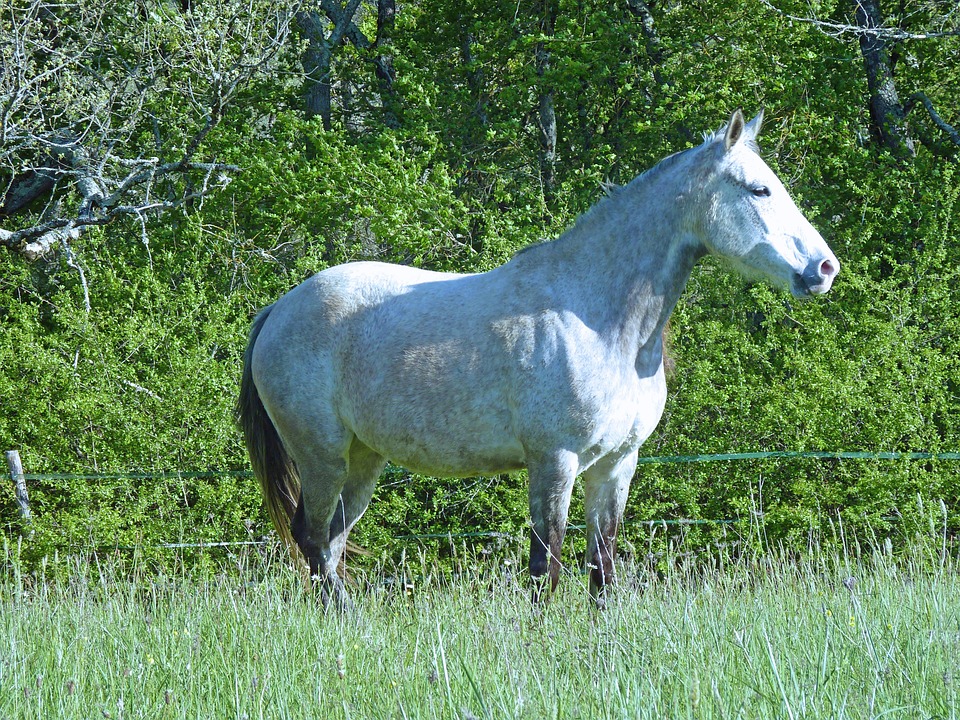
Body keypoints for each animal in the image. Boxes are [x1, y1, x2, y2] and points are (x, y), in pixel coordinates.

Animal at [237, 110, 839, 608]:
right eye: (759, 189)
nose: (825, 268)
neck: (597, 318)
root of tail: (280, 309)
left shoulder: (615, 467)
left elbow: (602, 569)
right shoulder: (554, 462)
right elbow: (544, 567)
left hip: (364, 460)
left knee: (332, 543)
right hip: (322, 456)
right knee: (313, 540)